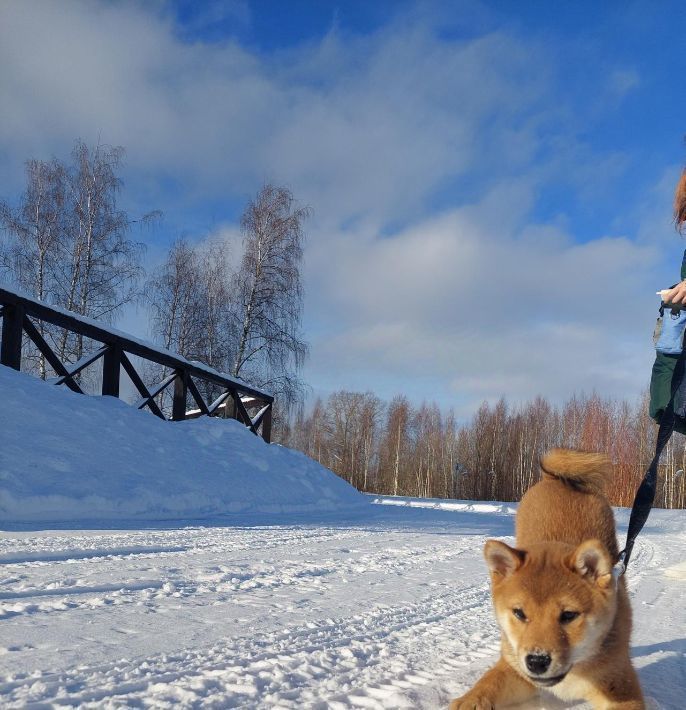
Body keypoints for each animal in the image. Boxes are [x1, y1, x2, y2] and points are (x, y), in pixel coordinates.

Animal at [452, 450, 644, 710]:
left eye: (569, 615)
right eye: (519, 613)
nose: (537, 661)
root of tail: (556, 479)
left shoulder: (618, 683)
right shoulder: (515, 670)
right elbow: (487, 686)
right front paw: (468, 701)